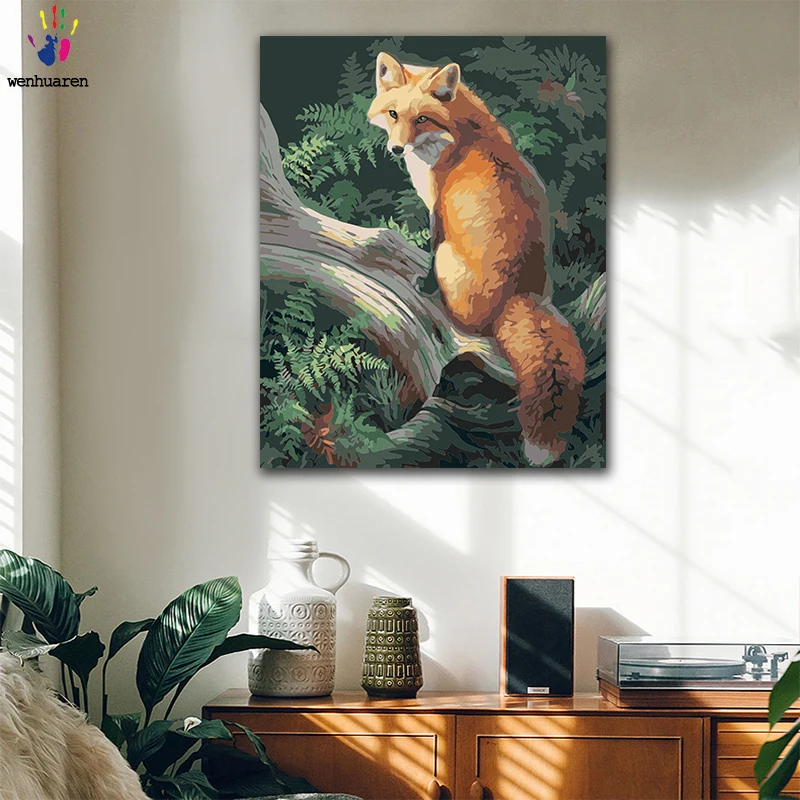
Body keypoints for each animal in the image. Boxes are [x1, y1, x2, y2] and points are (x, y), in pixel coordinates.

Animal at [367, 52, 586, 463]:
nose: (397, 149)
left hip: (451, 262)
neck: (462, 133)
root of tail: (520, 297)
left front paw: (423, 283)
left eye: (422, 119)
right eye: (393, 114)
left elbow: (430, 247)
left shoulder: (437, 211)